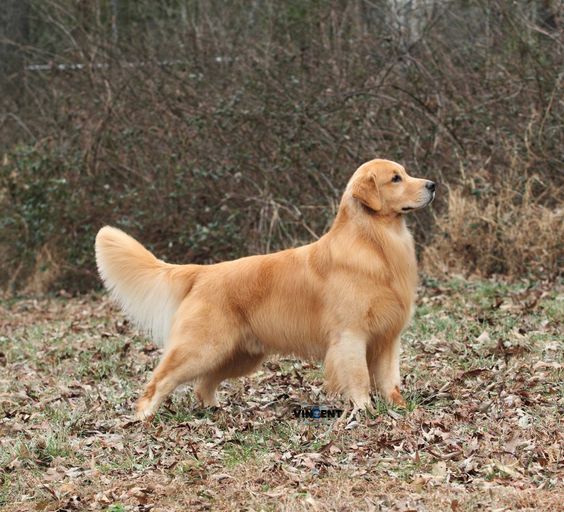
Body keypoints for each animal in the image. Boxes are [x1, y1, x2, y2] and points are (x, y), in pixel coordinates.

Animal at [94, 159, 434, 420]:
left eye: (405, 172)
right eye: (395, 178)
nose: (432, 185)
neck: (375, 244)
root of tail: (202, 272)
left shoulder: (388, 337)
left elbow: (389, 379)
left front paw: (401, 408)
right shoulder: (350, 336)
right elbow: (360, 377)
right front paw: (364, 411)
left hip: (238, 355)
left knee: (203, 385)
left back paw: (215, 410)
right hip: (202, 347)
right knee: (160, 380)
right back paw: (143, 417)